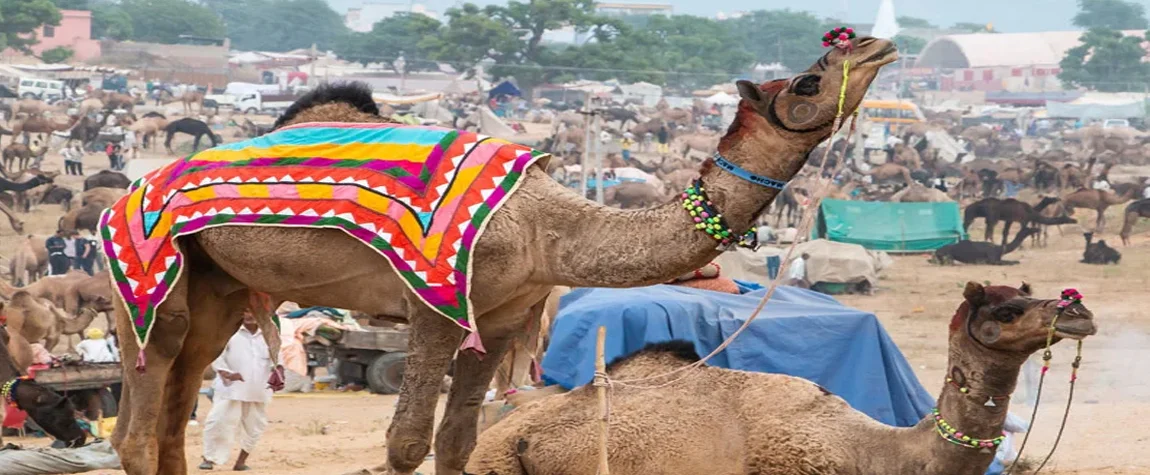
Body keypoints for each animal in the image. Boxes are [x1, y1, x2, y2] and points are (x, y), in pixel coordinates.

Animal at [101, 35, 897, 471]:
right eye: (809, 78)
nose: (874, 46)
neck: (547, 229)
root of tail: (122, 195)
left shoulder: (506, 316)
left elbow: (456, 442)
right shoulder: (434, 305)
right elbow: (407, 442)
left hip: (220, 286)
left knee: (175, 409)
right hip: (145, 278)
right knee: (140, 420)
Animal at [464, 281, 1094, 473]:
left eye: (1030, 290)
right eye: (1008, 310)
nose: (1077, 309)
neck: (869, 451)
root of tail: (508, 433)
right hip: (493, 466)